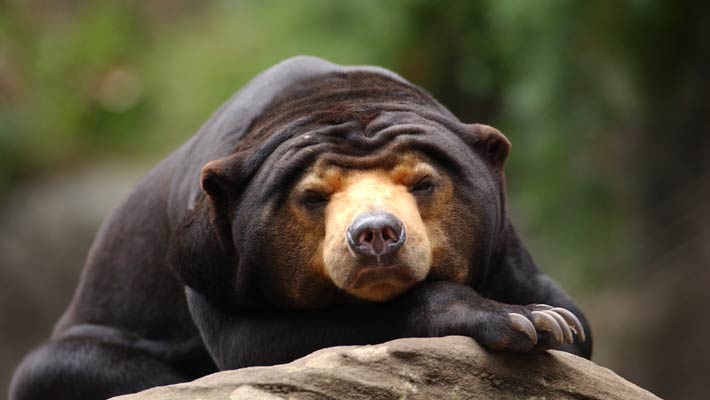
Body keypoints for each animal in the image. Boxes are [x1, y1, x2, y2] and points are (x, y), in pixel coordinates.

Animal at [10, 56, 591, 400]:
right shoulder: (208, 256)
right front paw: (525, 321)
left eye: (423, 184)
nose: (376, 234)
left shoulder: (504, 246)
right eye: (312, 197)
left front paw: (550, 320)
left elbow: (577, 324)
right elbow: (253, 344)